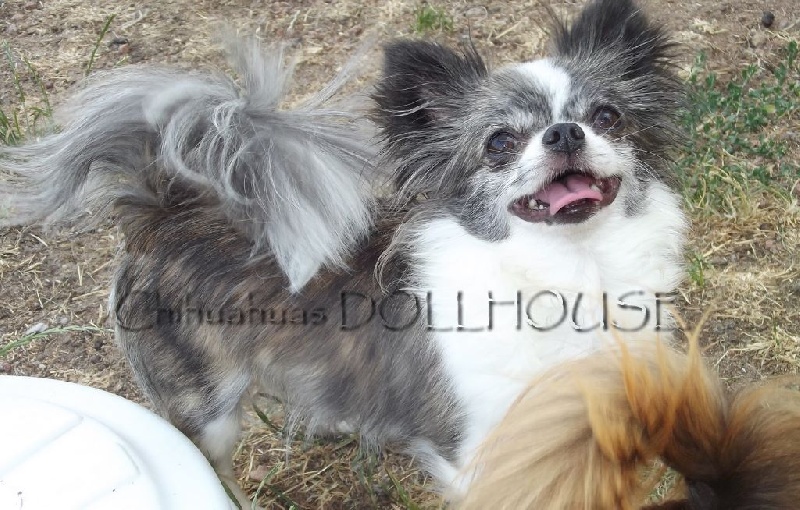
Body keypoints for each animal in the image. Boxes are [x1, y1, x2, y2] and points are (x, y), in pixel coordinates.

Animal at [0, 0, 686, 503]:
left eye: (607, 116)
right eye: (498, 143)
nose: (565, 132)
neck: (570, 269)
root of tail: (165, 212)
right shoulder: (473, 447)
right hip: (206, 408)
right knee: (214, 461)